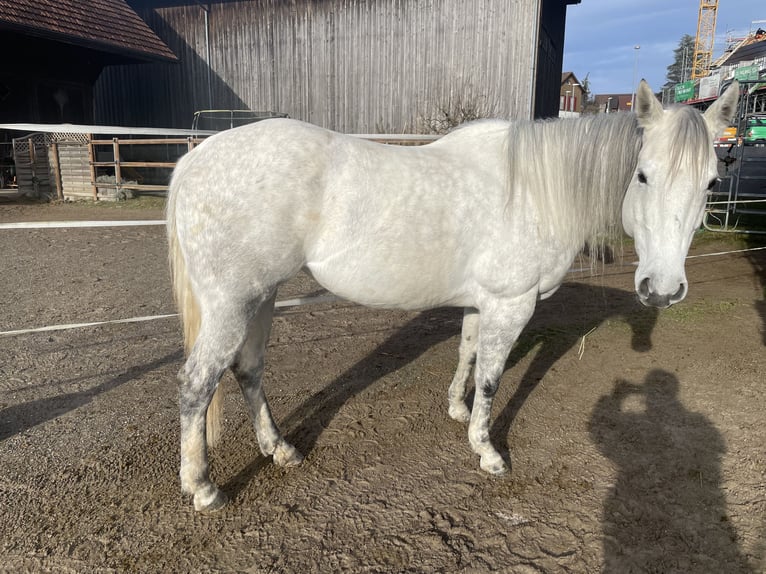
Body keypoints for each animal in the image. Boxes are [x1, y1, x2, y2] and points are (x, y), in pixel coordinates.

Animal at [167, 80, 739, 511]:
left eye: (712, 183)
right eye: (642, 175)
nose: (661, 290)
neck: (535, 189)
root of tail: (196, 160)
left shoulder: (480, 302)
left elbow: (466, 354)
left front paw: (457, 411)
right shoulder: (512, 304)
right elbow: (491, 378)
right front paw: (487, 452)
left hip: (260, 298)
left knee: (248, 370)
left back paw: (280, 450)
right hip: (232, 304)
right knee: (197, 385)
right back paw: (203, 488)